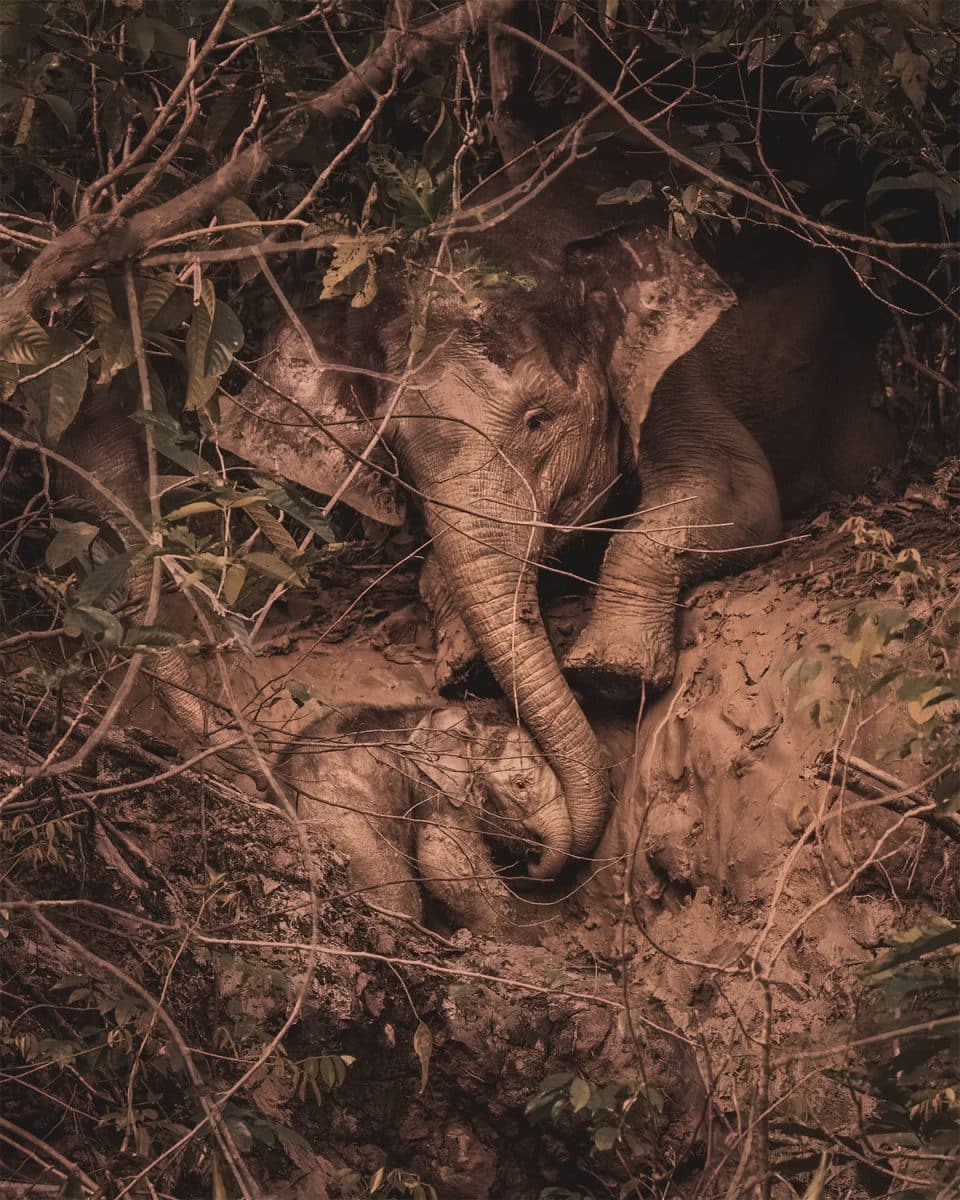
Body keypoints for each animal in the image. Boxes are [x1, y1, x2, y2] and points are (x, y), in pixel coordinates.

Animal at [213, 147, 897, 883]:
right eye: (397, 453)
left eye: (538, 419)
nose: (537, 858)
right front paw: (463, 665)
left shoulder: (674, 367)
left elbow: (737, 488)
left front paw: (610, 675)